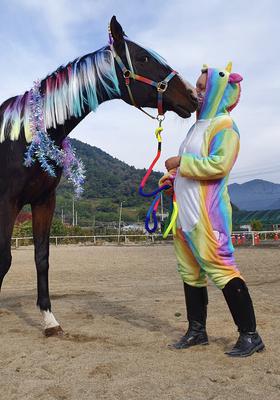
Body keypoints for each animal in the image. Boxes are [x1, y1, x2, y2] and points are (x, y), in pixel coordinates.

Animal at [0, 15, 197, 336]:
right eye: (143, 58)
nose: (193, 96)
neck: (24, 136)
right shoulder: (7, 202)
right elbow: (4, 258)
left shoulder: (44, 201)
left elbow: (42, 258)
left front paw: (49, 320)